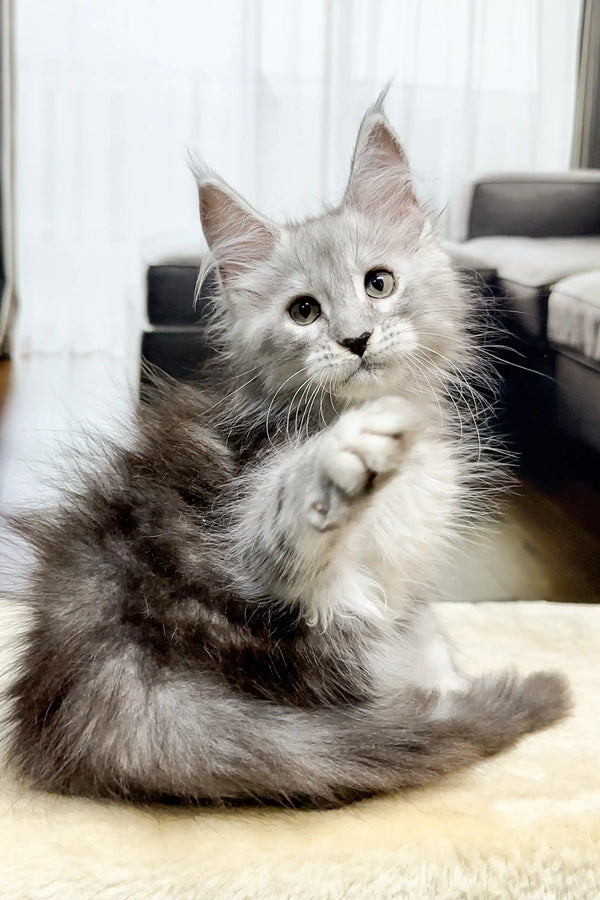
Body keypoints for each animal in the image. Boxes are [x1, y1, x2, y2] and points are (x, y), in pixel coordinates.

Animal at [1, 100, 572, 808]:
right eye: (304, 311)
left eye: (378, 283)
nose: (357, 338)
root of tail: (102, 679)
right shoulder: (258, 527)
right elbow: (295, 519)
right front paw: (345, 451)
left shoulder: (405, 587)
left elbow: (428, 639)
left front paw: (447, 681)